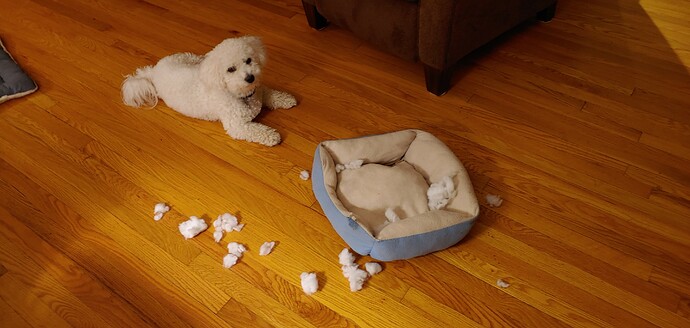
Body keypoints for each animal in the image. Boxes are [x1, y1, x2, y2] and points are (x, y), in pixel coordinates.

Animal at [121, 35, 296, 146]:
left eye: (248, 60)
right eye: (231, 69)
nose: (250, 77)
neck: (241, 94)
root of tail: (154, 71)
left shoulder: (259, 91)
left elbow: (272, 94)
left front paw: (287, 99)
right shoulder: (237, 126)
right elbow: (257, 130)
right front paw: (273, 135)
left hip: (192, 58)